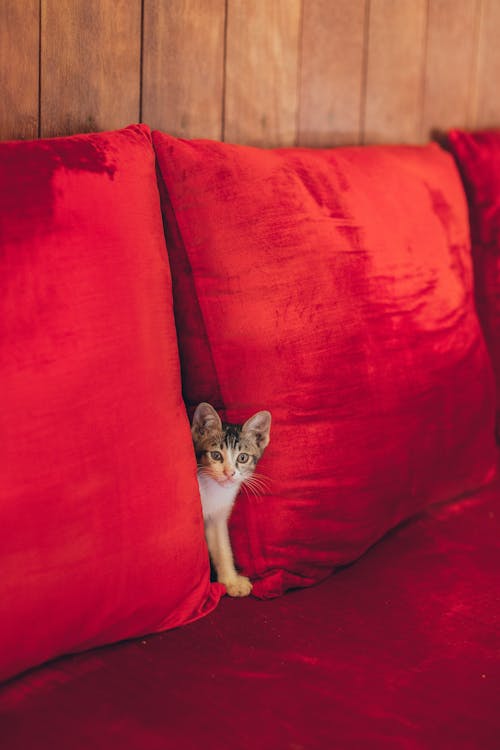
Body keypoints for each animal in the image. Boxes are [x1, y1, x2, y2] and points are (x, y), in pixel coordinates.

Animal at [191, 406, 272, 600]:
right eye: (215, 455)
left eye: (242, 458)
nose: (229, 473)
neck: (214, 491)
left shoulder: (218, 517)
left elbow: (222, 546)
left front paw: (231, 581)